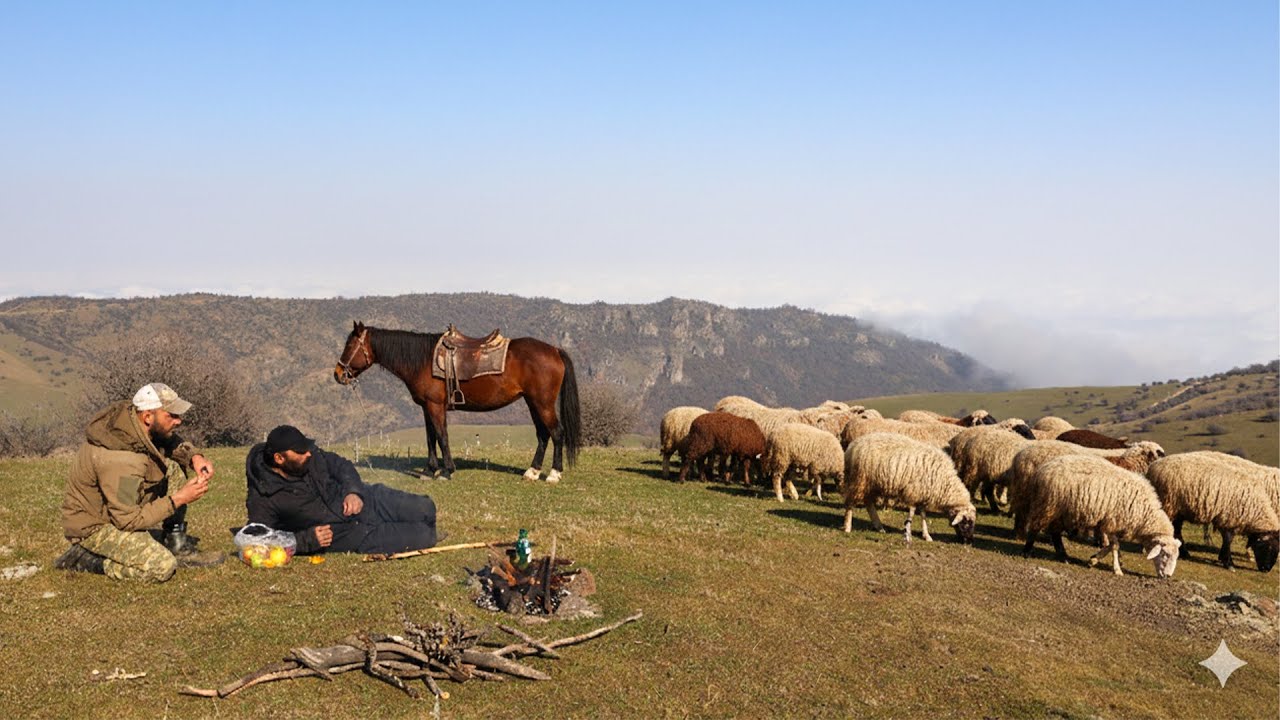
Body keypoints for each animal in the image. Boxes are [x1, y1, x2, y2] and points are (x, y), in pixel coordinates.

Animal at [842, 433, 976, 543]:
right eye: (966, 522)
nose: (969, 541)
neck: (945, 482)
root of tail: (853, 445)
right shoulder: (913, 492)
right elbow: (912, 514)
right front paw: (908, 532)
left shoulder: (921, 493)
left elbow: (923, 515)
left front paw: (926, 535)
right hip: (860, 479)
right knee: (850, 502)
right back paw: (848, 527)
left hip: (872, 484)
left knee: (868, 503)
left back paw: (879, 527)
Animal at [1019, 454, 1181, 577]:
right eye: (1165, 554)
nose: (1167, 576)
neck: (1144, 513)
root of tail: (1043, 468)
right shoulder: (1112, 521)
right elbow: (1114, 546)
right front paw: (1117, 569)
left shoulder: (1110, 523)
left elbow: (1110, 546)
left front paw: (1093, 560)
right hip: (1049, 505)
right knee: (1036, 527)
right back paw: (1027, 552)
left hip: (1062, 512)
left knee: (1055, 532)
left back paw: (1063, 556)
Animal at [1145, 451, 1280, 572]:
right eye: (1268, 547)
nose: (1266, 569)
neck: (1254, 507)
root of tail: (1154, 466)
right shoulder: (1229, 517)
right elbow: (1228, 539)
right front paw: (1229, 563)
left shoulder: (1226, 518)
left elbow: (1227, 540)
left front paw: (1224, 558)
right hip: (1169, 503)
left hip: (1179, 509)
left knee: (1177, 530)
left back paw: (1184, 553)